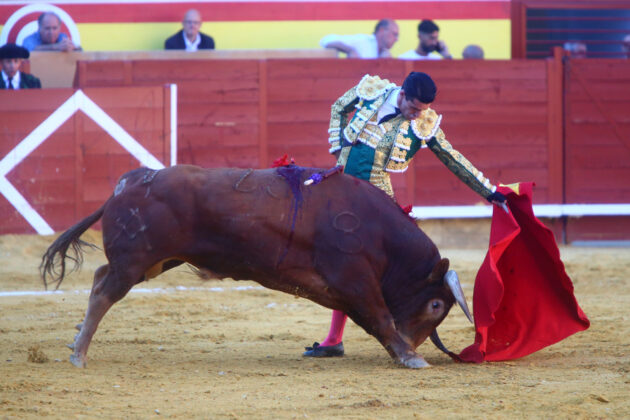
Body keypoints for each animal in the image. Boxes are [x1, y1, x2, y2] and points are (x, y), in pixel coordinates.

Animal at [42, 164, 472, 368]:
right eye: (436, 305)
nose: (415, 343)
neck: (378, 230)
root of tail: (132, 180)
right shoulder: (355, 279)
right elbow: (380, 318)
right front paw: (410, 357)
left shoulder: (344, 289)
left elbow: (370, 318)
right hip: (135, 260)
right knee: (103, 293)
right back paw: (79, 354)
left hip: (152, 261)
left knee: (100, 279)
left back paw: (77, 340)